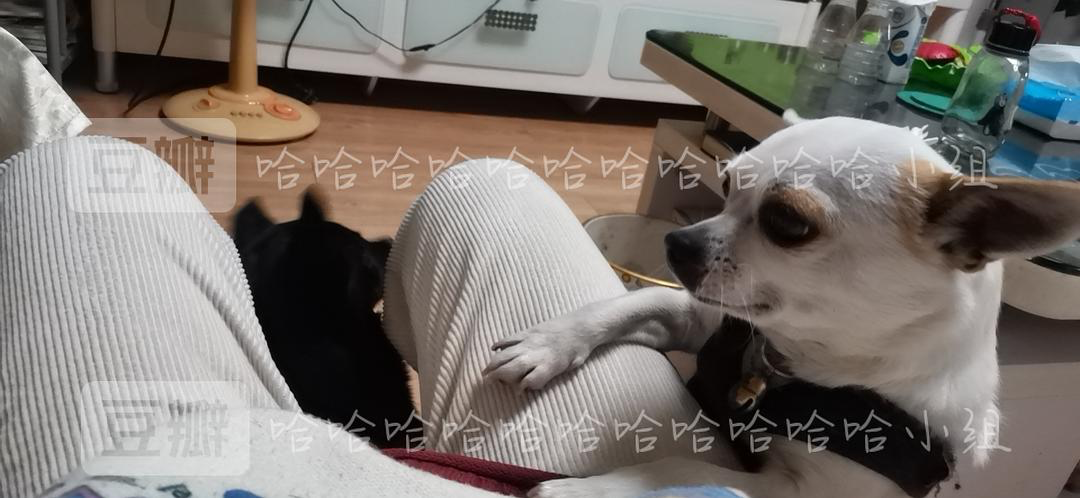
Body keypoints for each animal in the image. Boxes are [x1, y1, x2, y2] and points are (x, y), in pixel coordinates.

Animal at [483, 117, 1080, 497]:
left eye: (788, 224)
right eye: (726, 182)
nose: (677, 243)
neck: (784, 362)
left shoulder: (799, 492)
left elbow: (681, 467)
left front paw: (583, 490)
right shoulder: (703, 318)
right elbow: (621, 306)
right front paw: (545, 345)